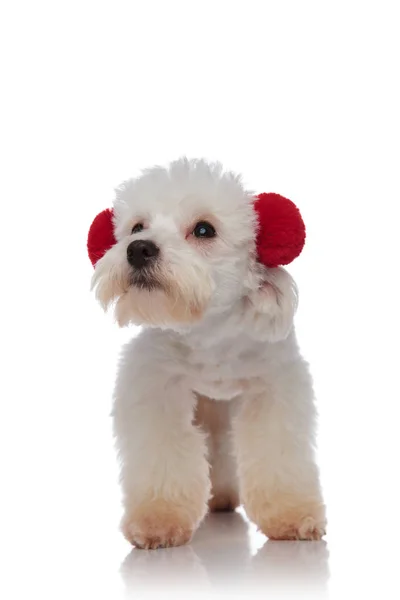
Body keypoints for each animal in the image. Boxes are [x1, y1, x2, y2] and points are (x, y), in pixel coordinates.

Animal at [90, 158, 324, 548]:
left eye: (203, 230)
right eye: (137, 227)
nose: (138, 249)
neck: (208, 332)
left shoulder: (273, 388)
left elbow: (276, 454)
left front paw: (291, 514)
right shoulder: (156, 389)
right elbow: (164, 455)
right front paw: (158, 519)